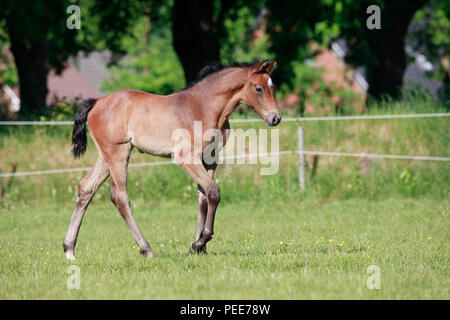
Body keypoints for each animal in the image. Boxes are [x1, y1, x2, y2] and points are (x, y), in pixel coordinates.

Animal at [63, 60, 282, 260]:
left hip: (105, 157)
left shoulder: (210, 158)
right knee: (120, 197)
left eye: (272, 86)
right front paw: (200, 242)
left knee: (86, 188)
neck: (204, 107)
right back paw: (146, 249)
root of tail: (97, 102)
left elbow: (203, 198)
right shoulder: (186, 157)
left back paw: (69, 250)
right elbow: (213, 192)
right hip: (118, 153)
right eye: (259, 88)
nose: (275, 119)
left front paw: (198, 247)